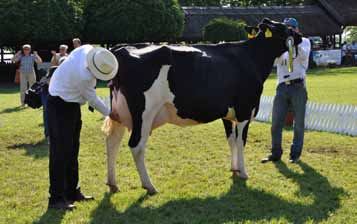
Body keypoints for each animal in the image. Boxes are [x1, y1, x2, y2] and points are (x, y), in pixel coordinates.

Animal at [101, 18, 302, 194]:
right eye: (286, 29)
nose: (300, 36)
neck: (251, 57)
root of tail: (121, 48)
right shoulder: (245, 110)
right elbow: (240, 141)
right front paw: (244, 173)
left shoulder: (228, 114)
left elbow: (231, 140)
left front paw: (234, 169)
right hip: (144, 113)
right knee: (136, 145)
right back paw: (149, 186)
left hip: (119, 112)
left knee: (112, 141)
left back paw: (112, 183)